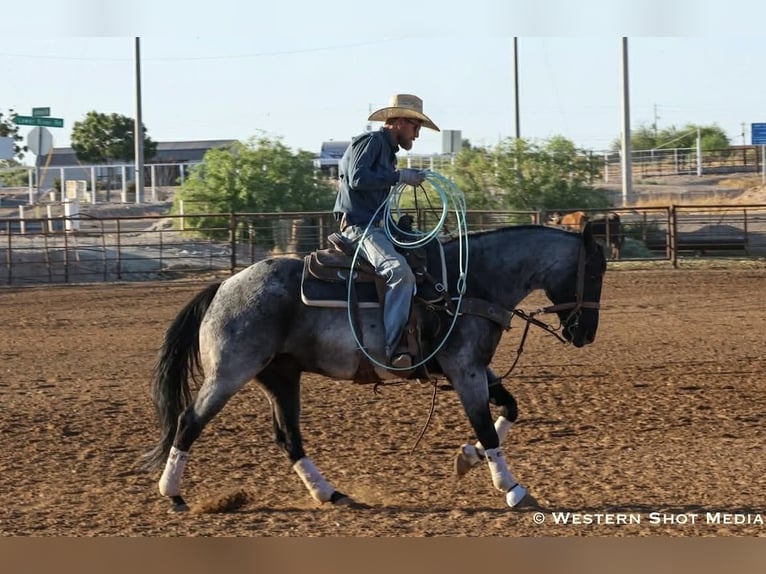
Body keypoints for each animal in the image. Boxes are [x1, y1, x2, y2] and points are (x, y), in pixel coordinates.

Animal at [143, 223, 607, 511]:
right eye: (594, 273)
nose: (585, 334)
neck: (470, 281)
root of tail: (224, 285)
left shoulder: (474, 369)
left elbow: (509, 409)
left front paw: (467, 457)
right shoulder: (466, 372)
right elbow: (488, 428)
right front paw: (512, 488)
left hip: (281, 376)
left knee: (289, 437)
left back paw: (331, 494)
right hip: (229, 374)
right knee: (188, 422)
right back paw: (173, 494)